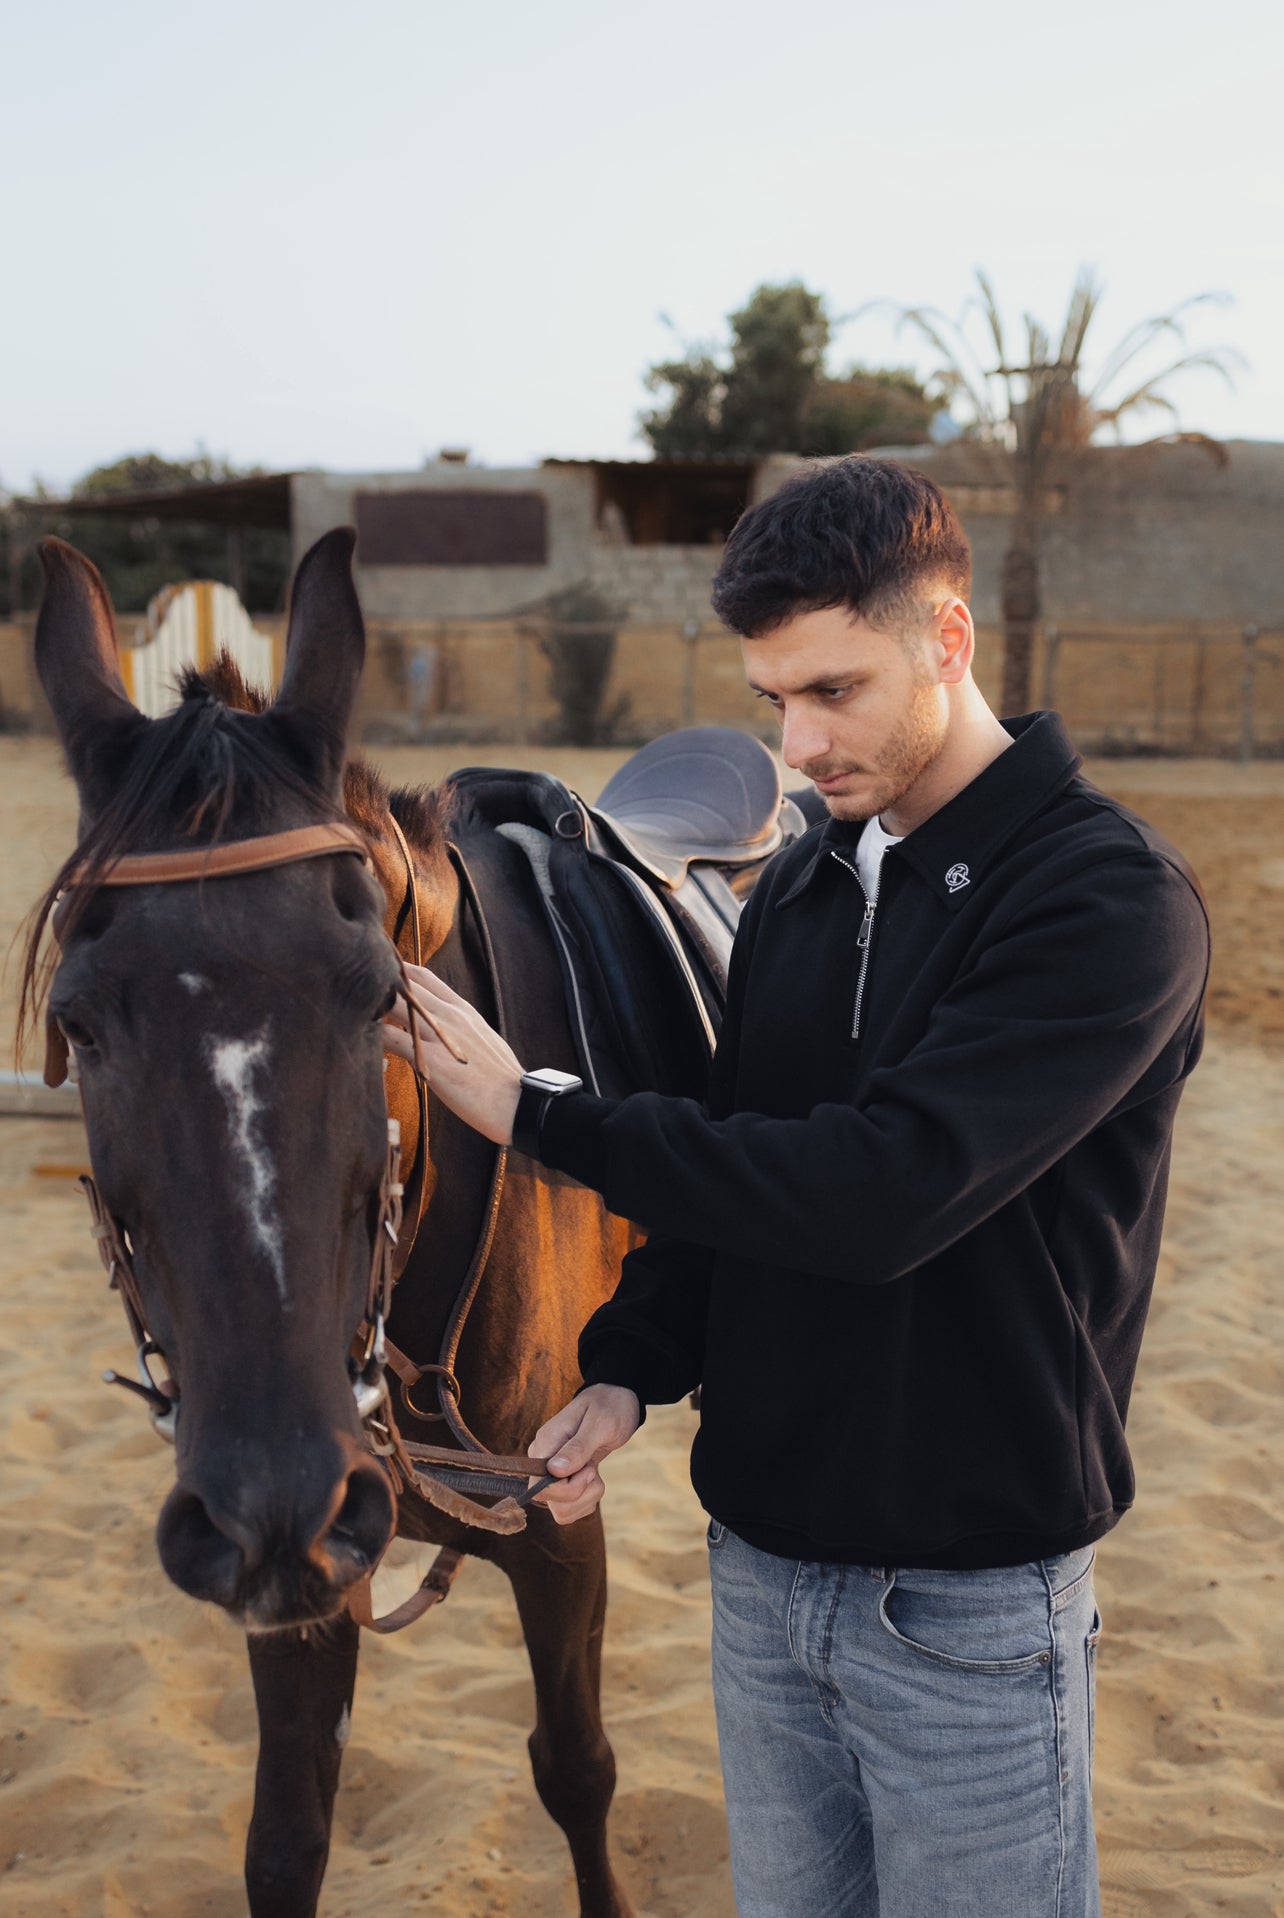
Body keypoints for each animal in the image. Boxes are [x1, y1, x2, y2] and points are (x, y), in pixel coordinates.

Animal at [27, 529, 652, 1918]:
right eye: (79, 1020)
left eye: (378, 997)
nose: (270, 1498)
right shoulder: (308, 1574)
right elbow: (288, 1835)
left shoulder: (561, 1527)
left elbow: (579, 1769)